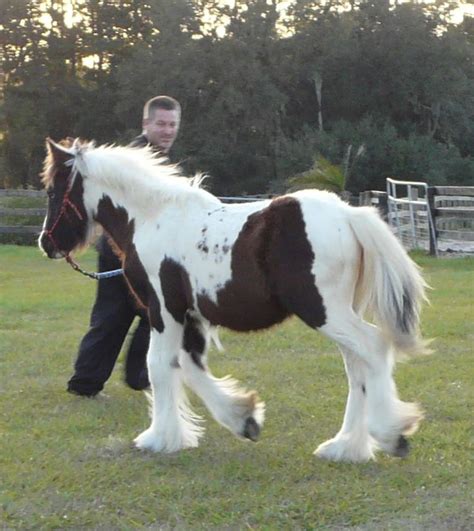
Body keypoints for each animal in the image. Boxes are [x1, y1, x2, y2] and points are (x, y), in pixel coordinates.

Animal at [39, 139, 428, 464]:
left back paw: (390, 435)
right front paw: (243, 418)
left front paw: (159, 438)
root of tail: (350, 215)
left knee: (373, 348)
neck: (151, 218)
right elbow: (188, 366)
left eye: (52, 190)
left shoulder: (163, 311)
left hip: (324, 311)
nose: (46, 243)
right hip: (338, 313)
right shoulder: (190, 316)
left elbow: (159, 365)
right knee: (357, 366)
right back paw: (345, 446)